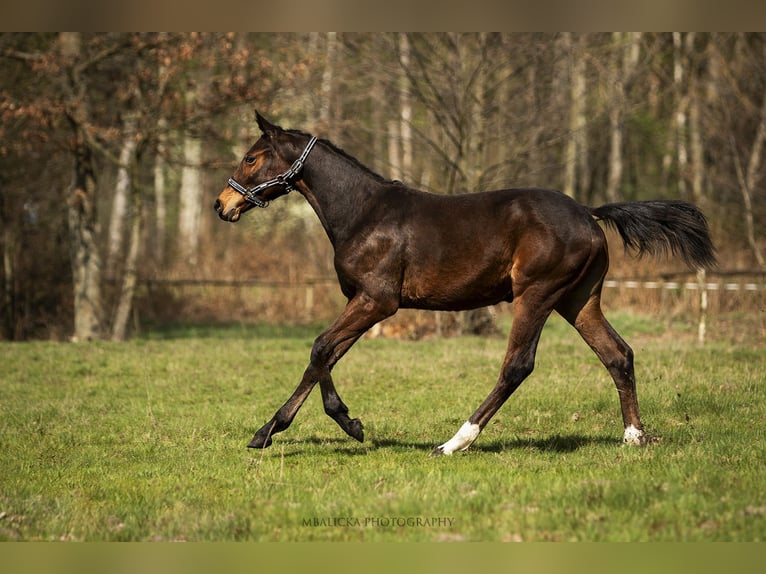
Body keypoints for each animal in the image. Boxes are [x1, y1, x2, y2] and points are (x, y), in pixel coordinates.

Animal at [213, 111, 716, 454]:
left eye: (251, 157)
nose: (222, 205)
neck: (363, 213)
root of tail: (589, 214)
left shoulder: (377, 300)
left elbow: (319, 348)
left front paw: (309, 428)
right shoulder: (362, 301)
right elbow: (324, 357)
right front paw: (309, 427)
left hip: (537, 294)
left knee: (517, 365)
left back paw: (455, 442)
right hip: (578, 299)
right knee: (618, 354)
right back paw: (634, 436)